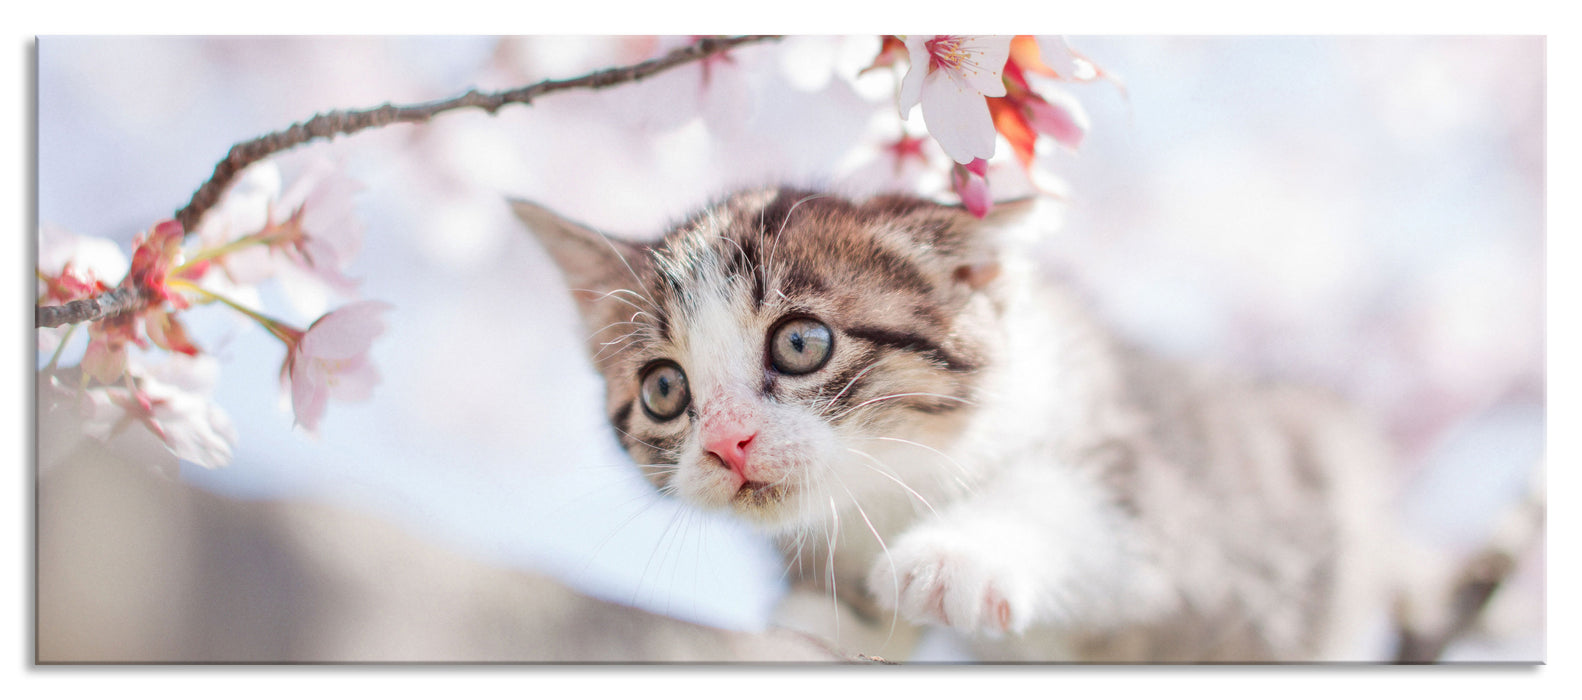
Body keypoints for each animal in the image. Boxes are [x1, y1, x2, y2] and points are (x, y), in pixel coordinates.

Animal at [512, 187, 1392, 661]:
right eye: (664, 389)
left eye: (800, 343)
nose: (729, 442)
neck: (901, 478)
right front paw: (806, 626)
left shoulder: (1160, 477)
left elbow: (1091, 502)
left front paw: (953, 559)